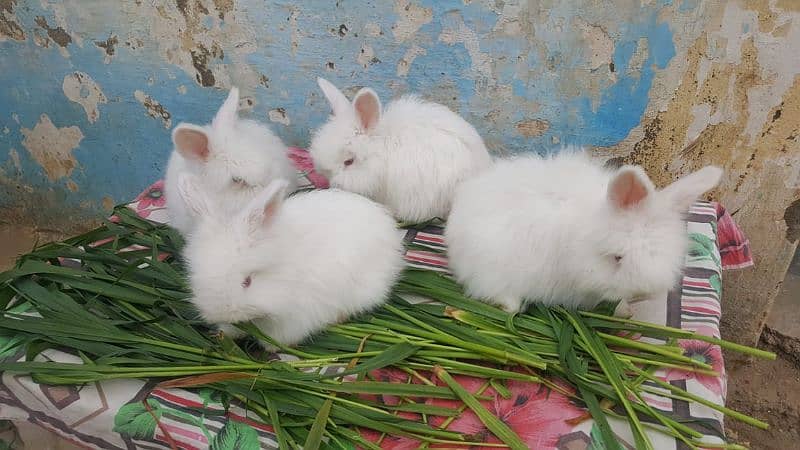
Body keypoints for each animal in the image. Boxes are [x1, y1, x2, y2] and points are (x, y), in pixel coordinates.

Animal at [180, 174, 406, 346]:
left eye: (247, 281)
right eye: (196, 280)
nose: (224, 314)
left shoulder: (296, 316)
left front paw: (271, 348)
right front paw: (224, 334)